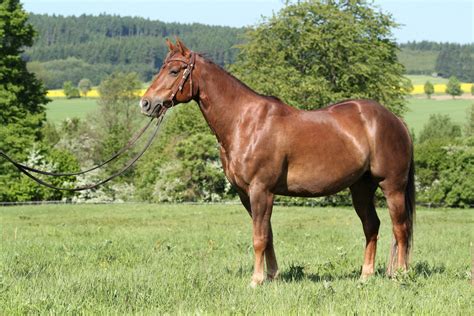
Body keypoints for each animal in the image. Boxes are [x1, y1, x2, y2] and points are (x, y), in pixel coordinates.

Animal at [140, 38, 414, 288]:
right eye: (162, 67)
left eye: (174, 71)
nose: (146, 103)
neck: (245, 122)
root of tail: (395, 120)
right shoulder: (246, 194)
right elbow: (267, 234)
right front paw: (272, 275)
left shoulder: (261, 190)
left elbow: (259, 237)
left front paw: (256, 280)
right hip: (361, 188)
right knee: (372, 226)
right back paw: (365, 276)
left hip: (392, 187)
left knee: (400, 229)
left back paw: (401, 275)